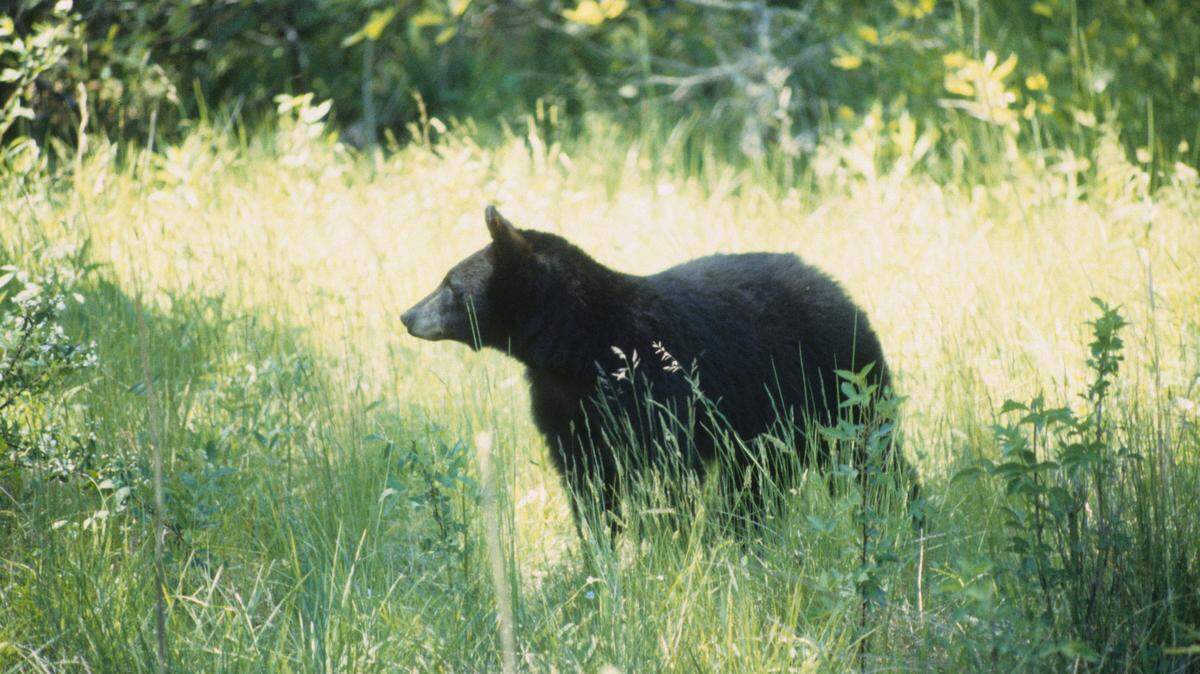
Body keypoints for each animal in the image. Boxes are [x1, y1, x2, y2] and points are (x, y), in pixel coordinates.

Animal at [402, 206, 916, 540]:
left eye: (450, 285)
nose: (407, 315)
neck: (580, 347)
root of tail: (838, 289)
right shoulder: (565, 408)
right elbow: (587, 482)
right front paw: (600, 552)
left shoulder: (656, 390)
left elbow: (667, 475)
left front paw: (668, 543)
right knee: (757, 481)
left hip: (838, 381)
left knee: (872, 451)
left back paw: (904, 513)